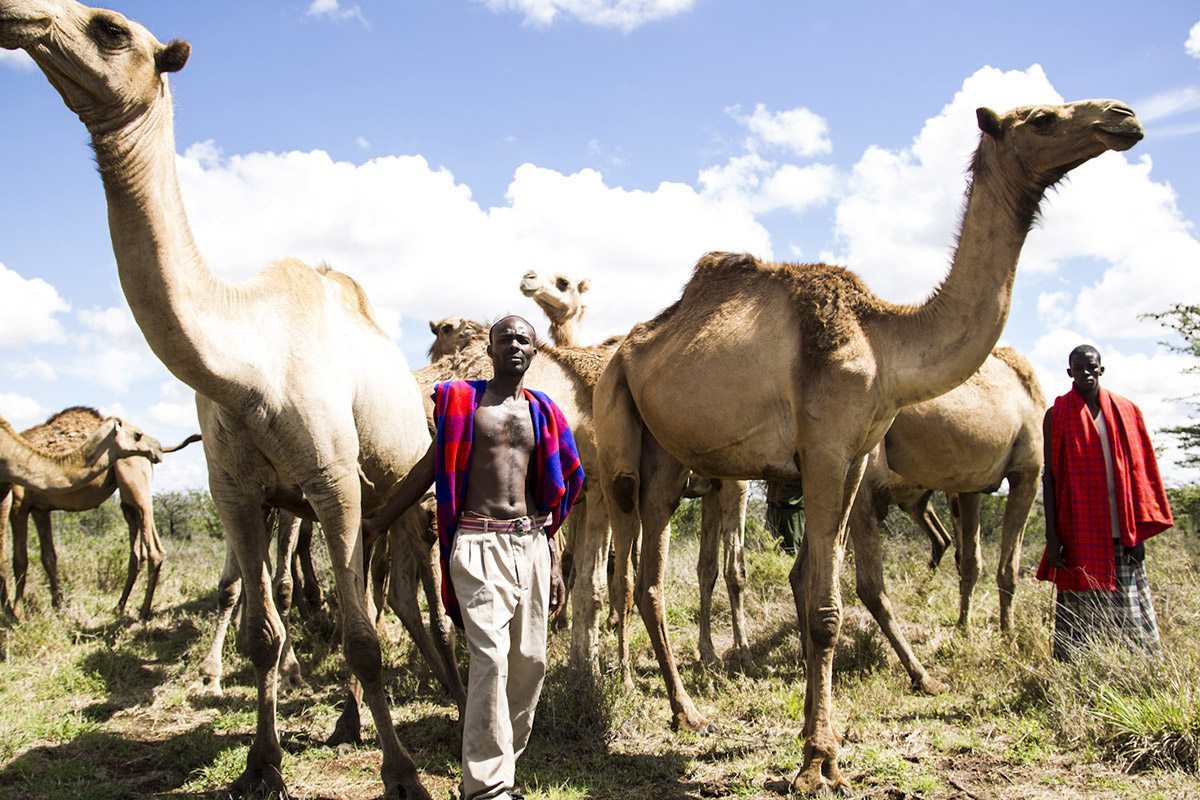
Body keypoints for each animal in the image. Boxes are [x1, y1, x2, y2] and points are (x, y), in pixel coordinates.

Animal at [0, 407, 199, 620]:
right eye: (137, 435)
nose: (157, 449)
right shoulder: (40, 509)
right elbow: (49, 557)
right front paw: (59, 607)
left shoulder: (18, 504)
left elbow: (20, 560)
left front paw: (17, 612)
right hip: (129, 503)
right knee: (137, 553)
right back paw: (120, 606)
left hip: (137, 488)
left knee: (155, 551)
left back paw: (143, 612)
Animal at [593, 100, 1142, 794]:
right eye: (1041, 118)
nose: (1122, 118)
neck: (886, 344)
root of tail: (624, 348)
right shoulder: (826, 445)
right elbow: (827, 606)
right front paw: (817, 762)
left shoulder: (855, 456)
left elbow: (817, 589)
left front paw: (818, 737)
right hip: (621, 442)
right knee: (629, 570)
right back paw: (659, 702)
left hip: (670, 457)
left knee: (649, 582)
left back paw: (686, 711)